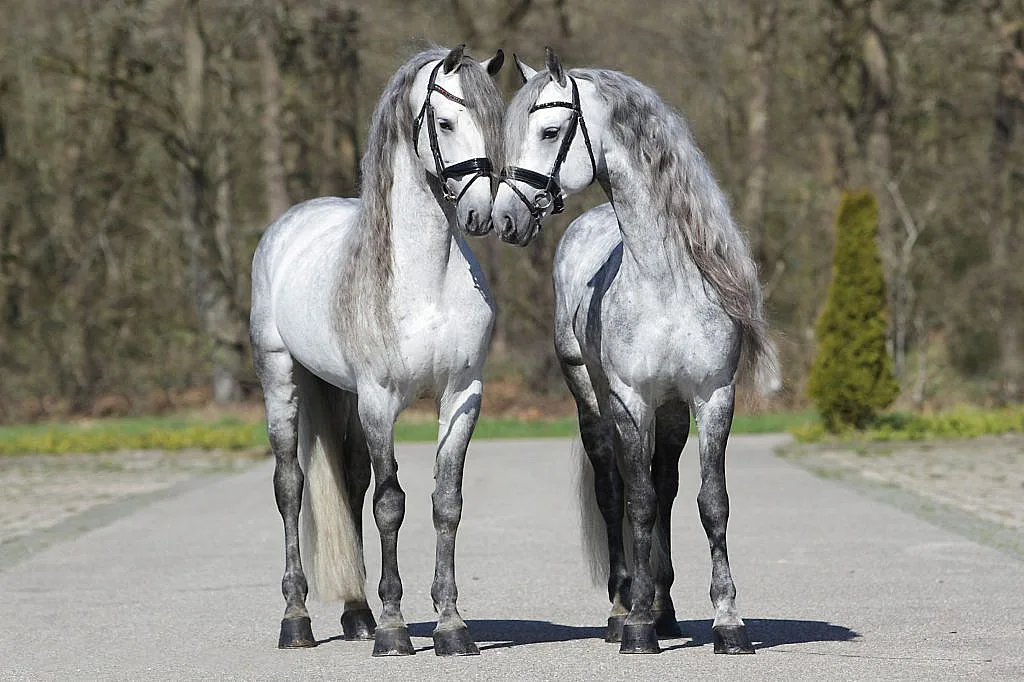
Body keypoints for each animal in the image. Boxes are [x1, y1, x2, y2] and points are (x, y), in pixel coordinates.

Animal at [249, 45, 504, 657]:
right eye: (444, 122)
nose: (482, 213)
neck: (425, 280)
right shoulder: (380, 400)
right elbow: (390, 504)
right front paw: (394, 630)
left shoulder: (463, 395)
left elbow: (445, 502)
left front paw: (451, 627)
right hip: (281, 378)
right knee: (290, 486)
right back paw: (297, 620)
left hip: (342, 396)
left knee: (348, 482)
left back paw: (357, 613)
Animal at [492, 48, 780, 655]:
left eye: (549, 130)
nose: (505, 218)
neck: (666, 281)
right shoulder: (629, 400)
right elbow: (637, 501)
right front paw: (639, 626)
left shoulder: (712, 397)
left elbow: (710, 502)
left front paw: (728, 623)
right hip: (592, 400)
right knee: (614, 489)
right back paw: (625, 608)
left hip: (670, 412)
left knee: (664, 485)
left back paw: (665, 608)